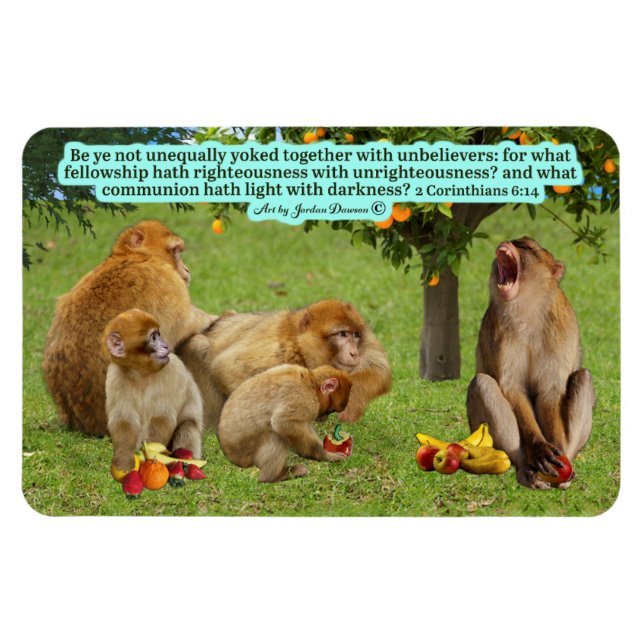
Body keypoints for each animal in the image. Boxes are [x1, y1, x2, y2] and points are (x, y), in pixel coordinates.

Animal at [42, 219, 214, 436]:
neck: (135, 257)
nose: (186, 269)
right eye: (176, 251)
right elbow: (184, 324)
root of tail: (82, 422)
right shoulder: (165, 281)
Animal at [103, 309, 203, 473]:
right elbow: (124, 420)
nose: (165, 345)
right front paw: (124, 464)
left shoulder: (171, 369)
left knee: (187, 427)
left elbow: (162, 418)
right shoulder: (115, 375)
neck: (141, 372)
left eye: (158, 335)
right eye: (154, 337)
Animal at [177, 299, 391, 429]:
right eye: (342, 334)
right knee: (199, 345)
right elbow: (227, 368)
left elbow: (379, 368)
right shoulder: (277, 351)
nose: (354, 353)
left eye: (355, 335)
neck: (297, 343)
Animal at [217, 364, 352, 483]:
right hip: (246, 454)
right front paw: (325, 455)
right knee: (277, 436)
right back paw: (273, 477)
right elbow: (282, 423)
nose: (324, 418)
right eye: (330, 411)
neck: (310, 383)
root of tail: (230, 456)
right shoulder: (305, 400)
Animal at [466, 236, 595, 489]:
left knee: (583, 377)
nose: (508, 241)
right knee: (482, 383)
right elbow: (512, 388)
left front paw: (556, 446)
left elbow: (550, 391)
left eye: (526, 246)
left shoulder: (560, 327)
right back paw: (525, 469)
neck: (527, 308)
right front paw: (539, 448)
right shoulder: (499, 331)